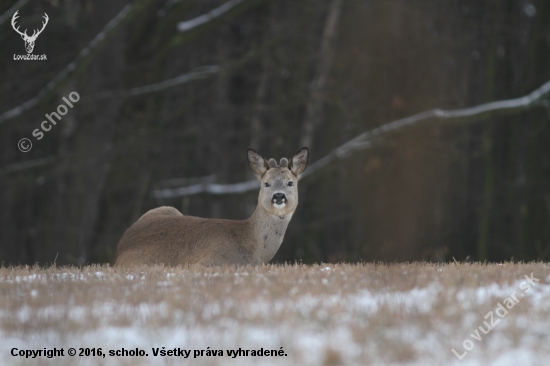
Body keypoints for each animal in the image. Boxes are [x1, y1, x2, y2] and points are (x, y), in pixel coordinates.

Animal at [115, 148, 310, 266]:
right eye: (266, 183)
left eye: (290, 182)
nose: (279, 196)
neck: (254, 248)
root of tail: (120, 246)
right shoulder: (209, 262)